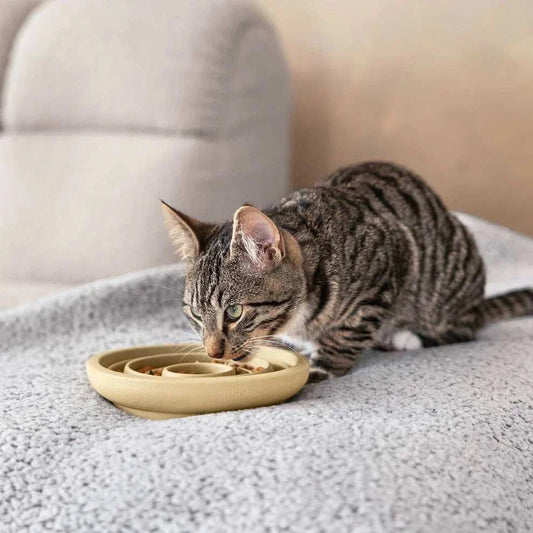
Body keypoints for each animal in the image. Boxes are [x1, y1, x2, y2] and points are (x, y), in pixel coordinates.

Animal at [160, 160, 528, 380]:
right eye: (195, 314)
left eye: (234, 312)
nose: (213, 352)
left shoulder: (388, 261)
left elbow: (348, 333)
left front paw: (322, 366)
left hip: (446, 282)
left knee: (461, 329)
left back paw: (407, 336)